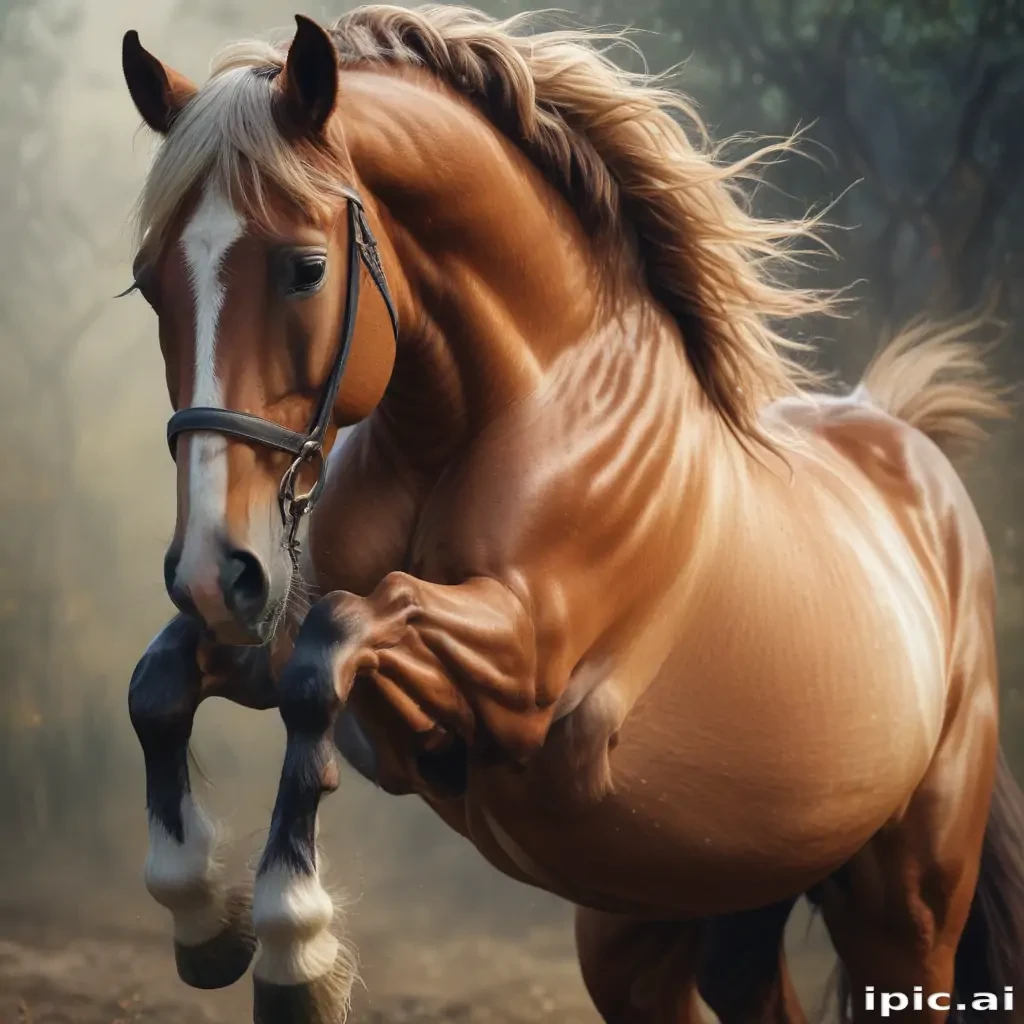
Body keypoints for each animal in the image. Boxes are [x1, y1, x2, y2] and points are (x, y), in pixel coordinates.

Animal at [119, 6, 1024, 1022]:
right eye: (150, 281)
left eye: (306, 269)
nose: (214, 570)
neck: (518, 407)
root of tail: (918, 462)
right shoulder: (279, 634)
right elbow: (162, 682)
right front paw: (203, 917)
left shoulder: (522, 670)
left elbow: (334, 647)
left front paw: (295, 949)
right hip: (665, 918)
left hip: (903, 910)